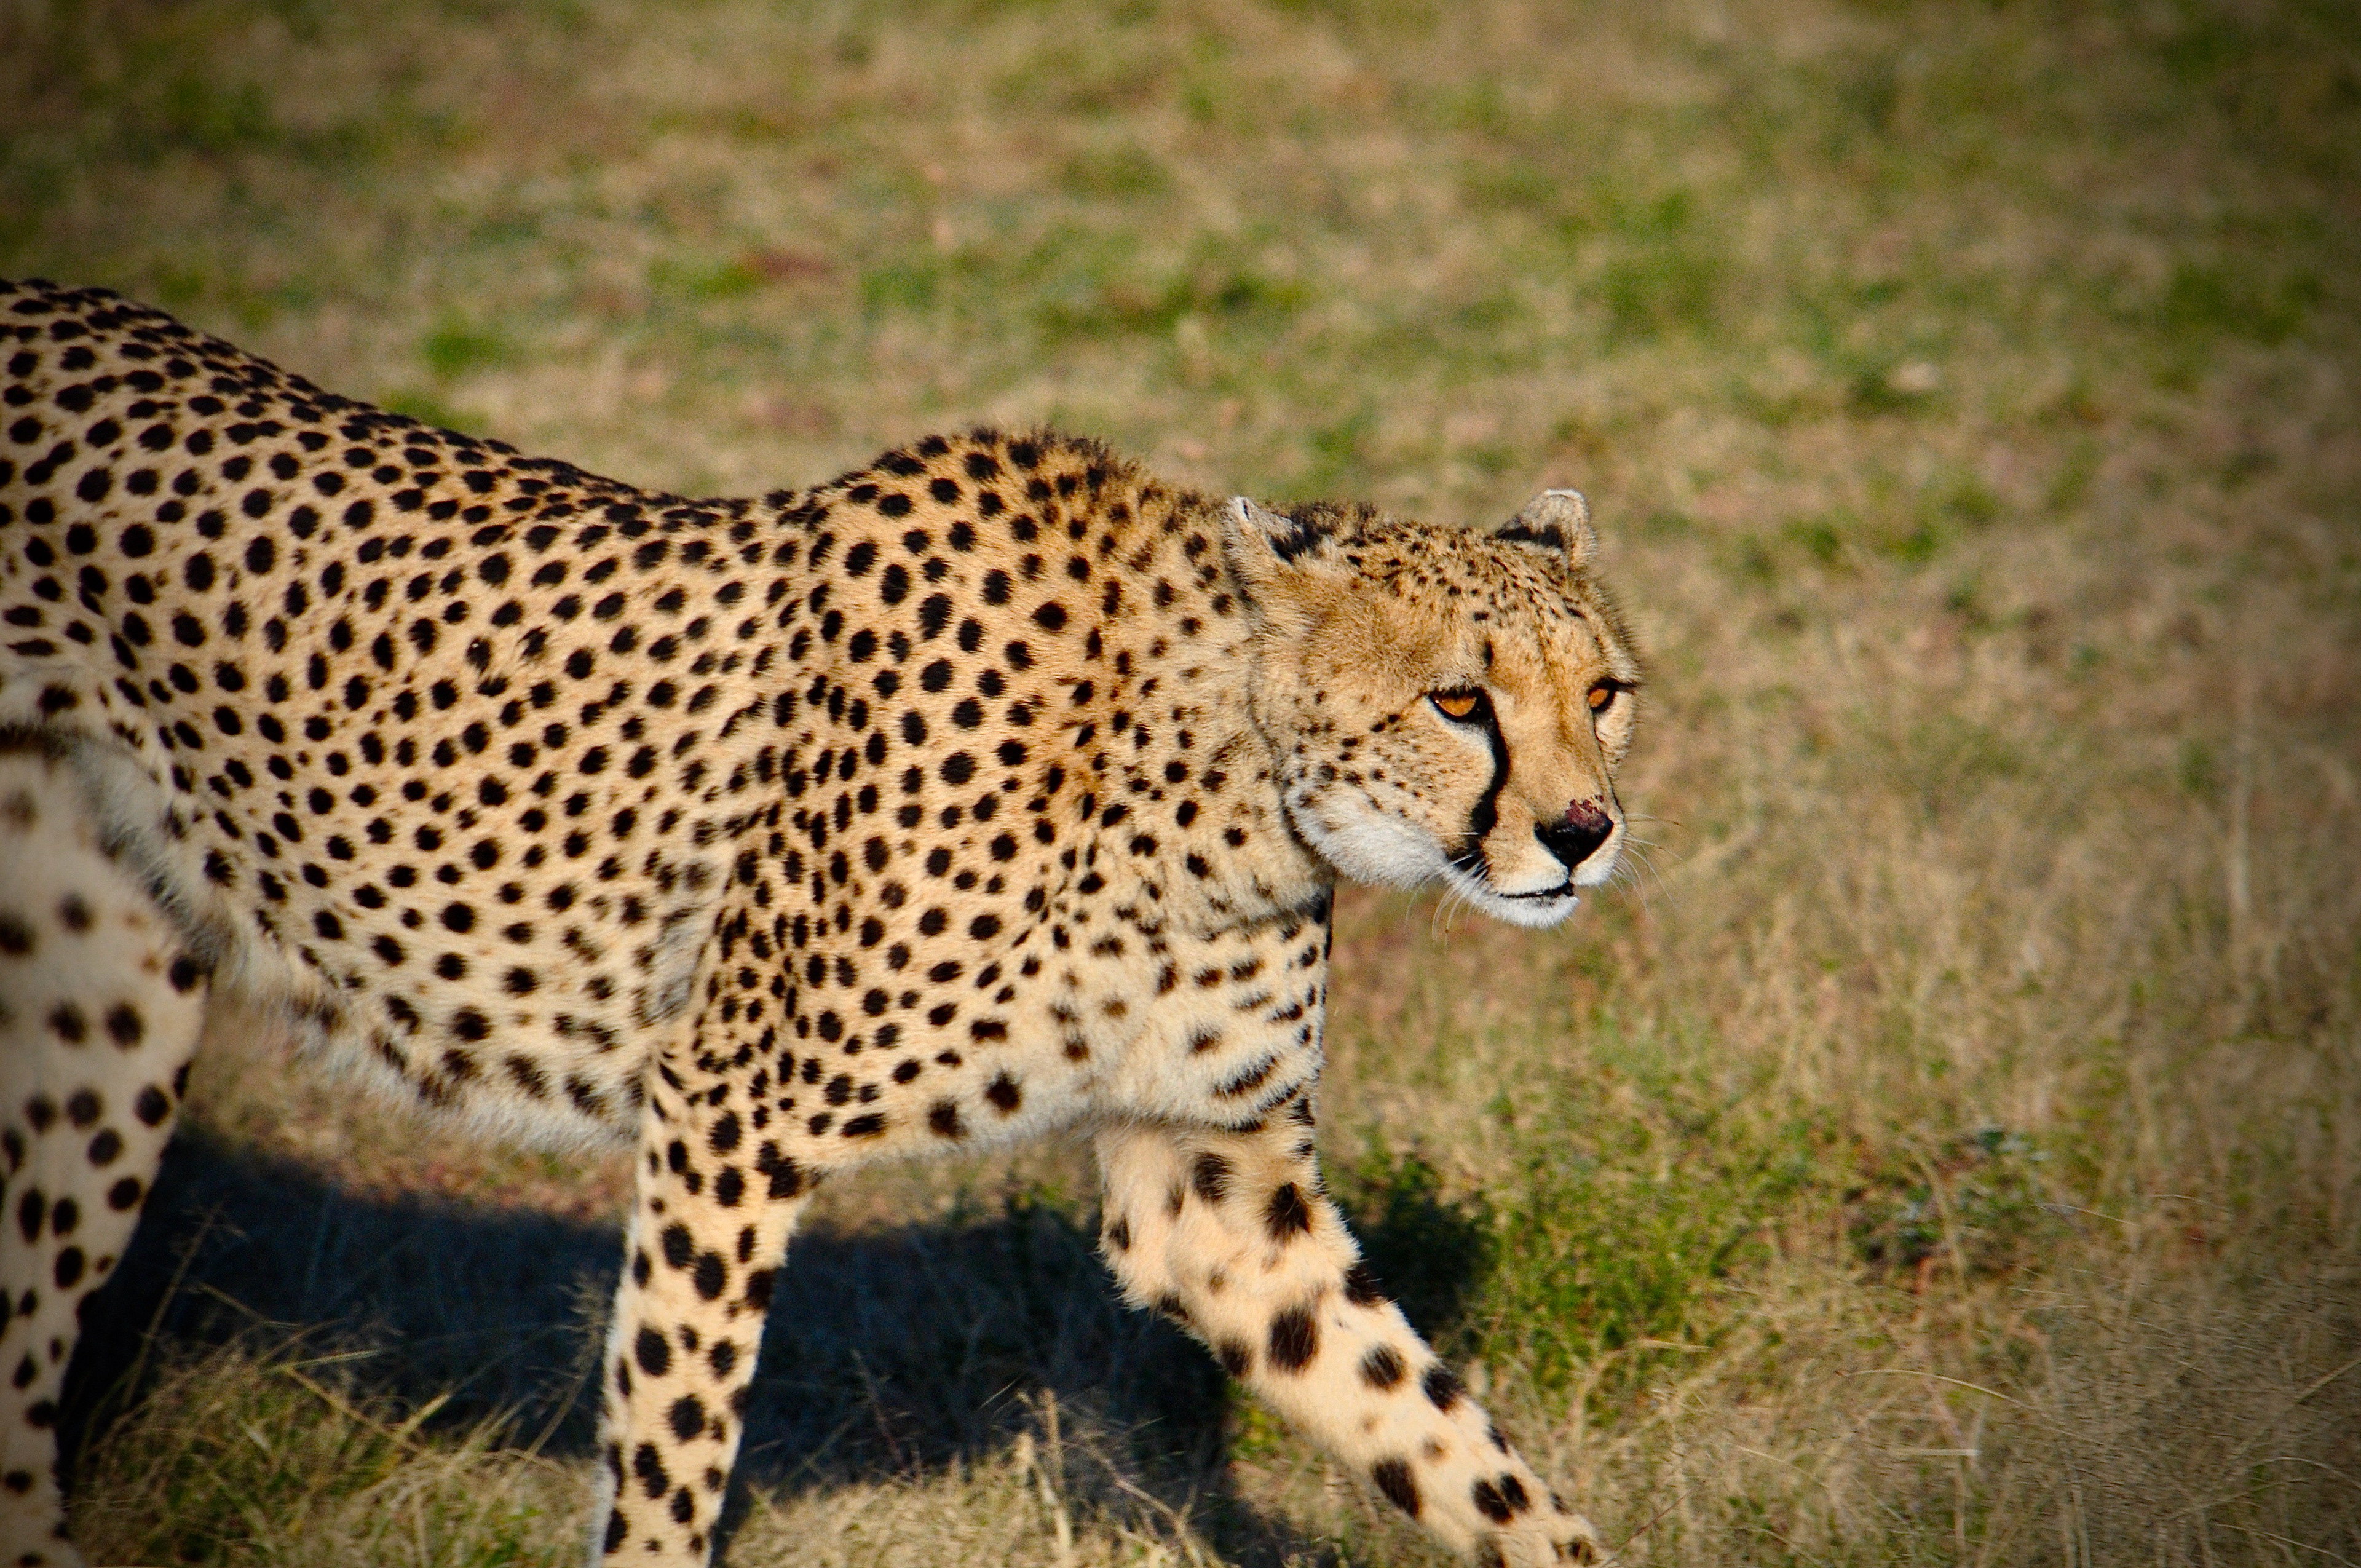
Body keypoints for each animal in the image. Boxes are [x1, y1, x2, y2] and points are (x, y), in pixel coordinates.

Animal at [0, 277, 1641, 1568]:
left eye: (1604, 691)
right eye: (1459, 701)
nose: (1582, 833)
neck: (1215, 780)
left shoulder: (1210, 1188)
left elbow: (1439, 1436)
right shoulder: (723, 1114)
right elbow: (671, 1448)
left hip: (105, 1002)